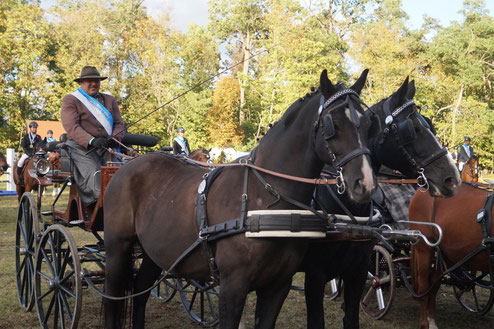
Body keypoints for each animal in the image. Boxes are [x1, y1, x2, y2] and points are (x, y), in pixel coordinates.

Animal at [102, 68, 376, 326]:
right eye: (332, 125)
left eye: (368, 124)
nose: (365, 183)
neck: (265, 199)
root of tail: (129, 164)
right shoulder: (233, 286)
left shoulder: (279, 285)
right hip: (117, 248)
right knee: (112, 298)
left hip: (154, 251)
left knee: (140, 291)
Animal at [410, 182, 494, 328]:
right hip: (424, 249)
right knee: (424, 286)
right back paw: (424, 323)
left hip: (446, 254)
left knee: (434, 285)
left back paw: (431, 321)